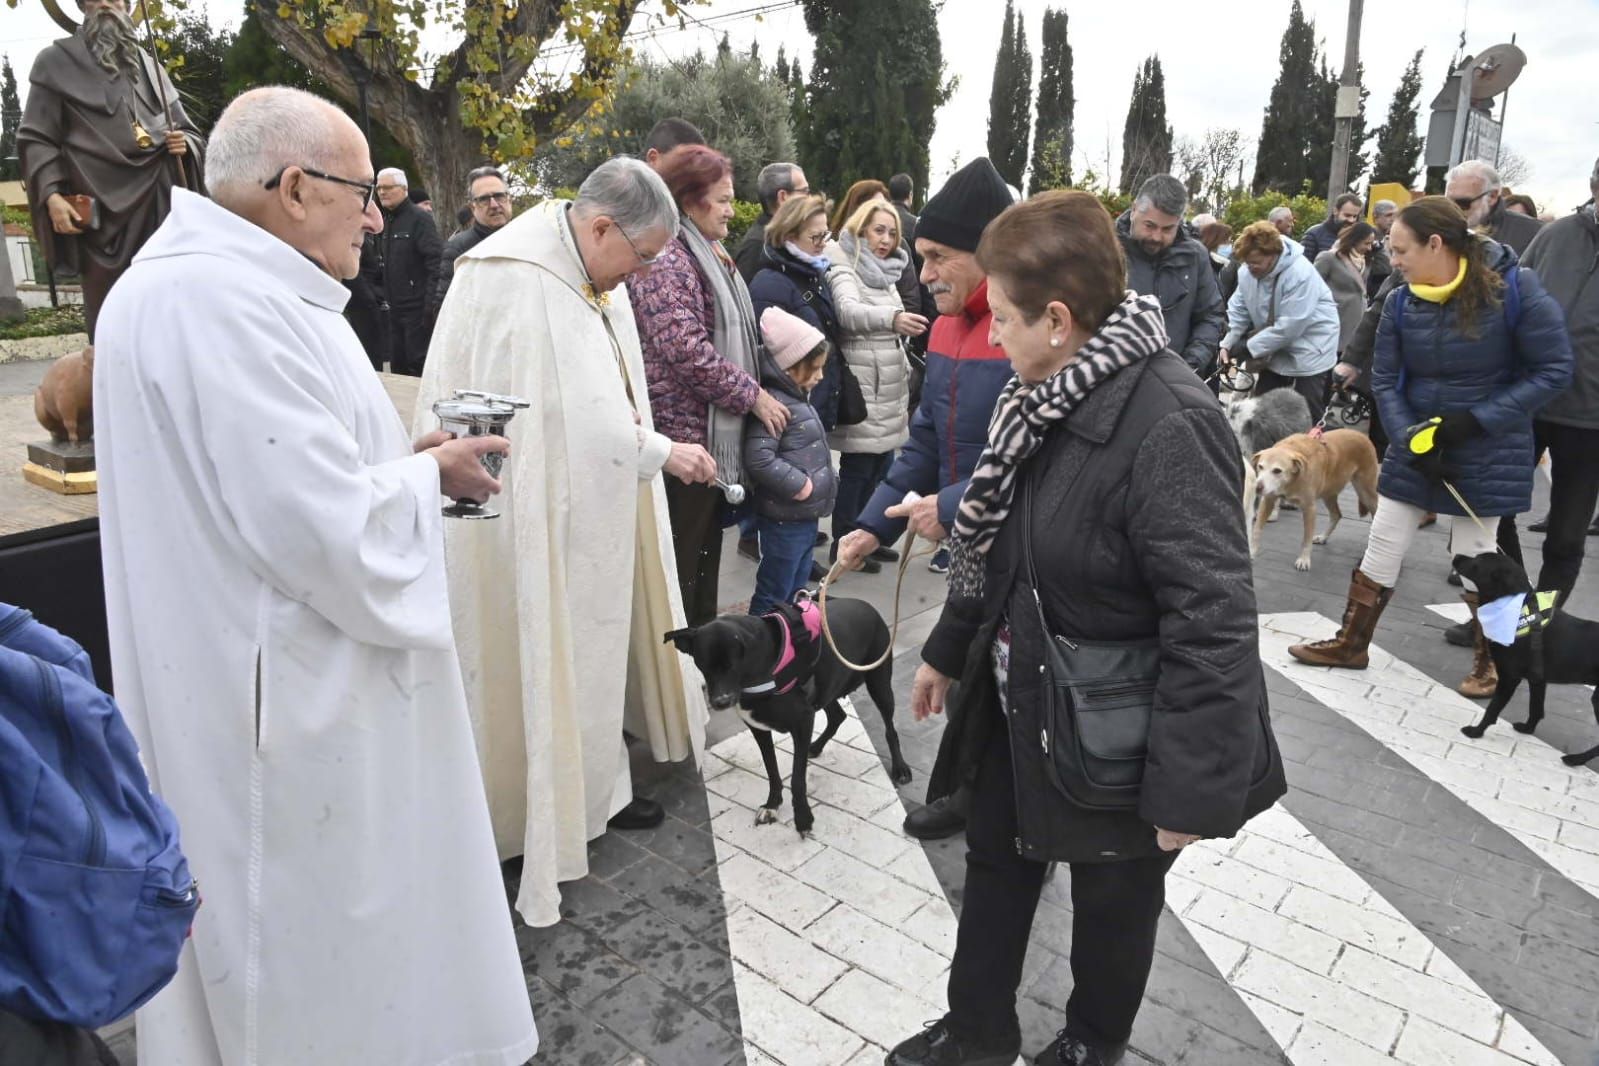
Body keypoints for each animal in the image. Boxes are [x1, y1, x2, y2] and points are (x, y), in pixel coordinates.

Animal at [1247, 428, 1375, 572]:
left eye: (1277, 471)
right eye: (1260, 467)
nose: (1257, 487)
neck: (1292, 480)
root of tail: (1359, 433)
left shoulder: (1309, 509)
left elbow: (1306, 539)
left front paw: (1304, 560)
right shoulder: (1268, 500)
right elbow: (1256, 530)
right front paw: (1252, 552)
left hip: (1366, 493)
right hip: (1328, 494)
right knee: (1336, 515)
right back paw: (1323, 537)